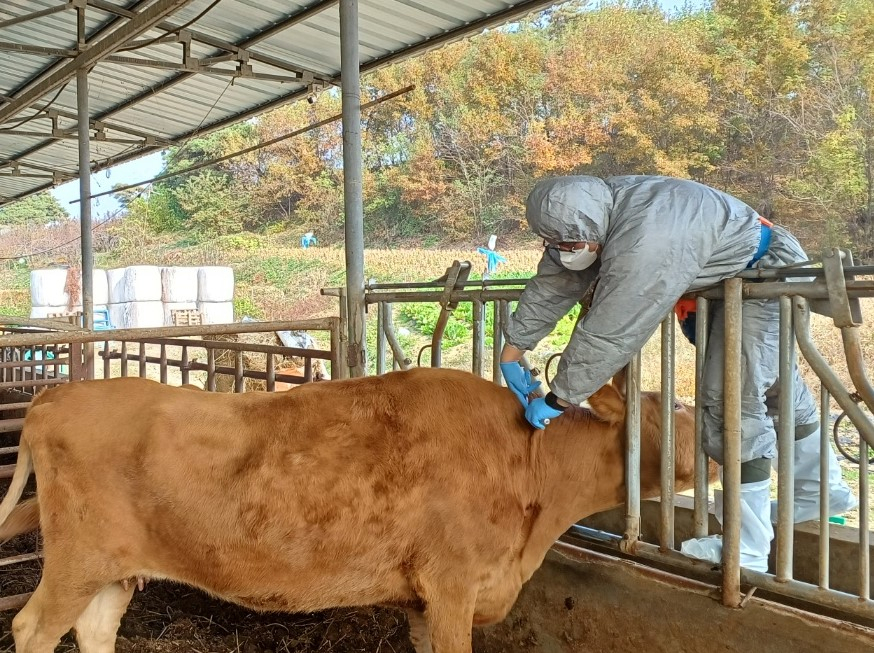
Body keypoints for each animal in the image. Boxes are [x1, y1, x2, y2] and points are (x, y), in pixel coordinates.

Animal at [0, 366, 700, 652]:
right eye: (675, 408)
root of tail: (55, 396)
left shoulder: (423, 599)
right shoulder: (453, 585)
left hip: (112, 570)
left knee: (92, 629)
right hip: (77, 561)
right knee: (33, 628)